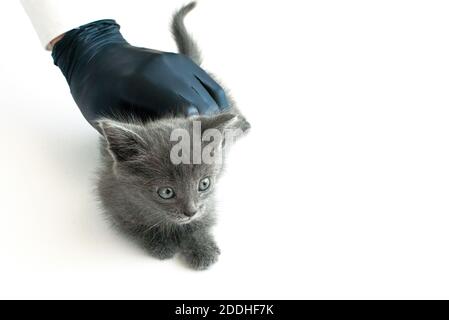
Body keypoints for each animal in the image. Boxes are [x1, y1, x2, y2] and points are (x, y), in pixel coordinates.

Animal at [96, 1, 248, 270]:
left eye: (204, 184)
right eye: (165, 192)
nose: (190, 211)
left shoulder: (208, 202)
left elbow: (204, 220)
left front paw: (202, 247)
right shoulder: (111, 195)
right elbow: (136, 225)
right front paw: (160, 242)